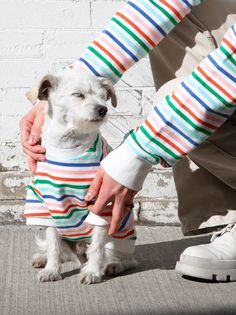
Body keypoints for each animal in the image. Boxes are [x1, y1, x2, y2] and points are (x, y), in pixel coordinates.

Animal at [24, 71, 136, 284]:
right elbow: (53, 244)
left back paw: (113, 265)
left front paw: (92, 272)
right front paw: (51, 270)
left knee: (123, 258)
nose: (102, 109)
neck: (69, 145)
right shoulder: (45, 204)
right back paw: (43, 258)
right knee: (62, 251)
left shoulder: (102, 202)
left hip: (118, 238)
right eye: (78, 95)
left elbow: (97, 245)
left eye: (103, 96)